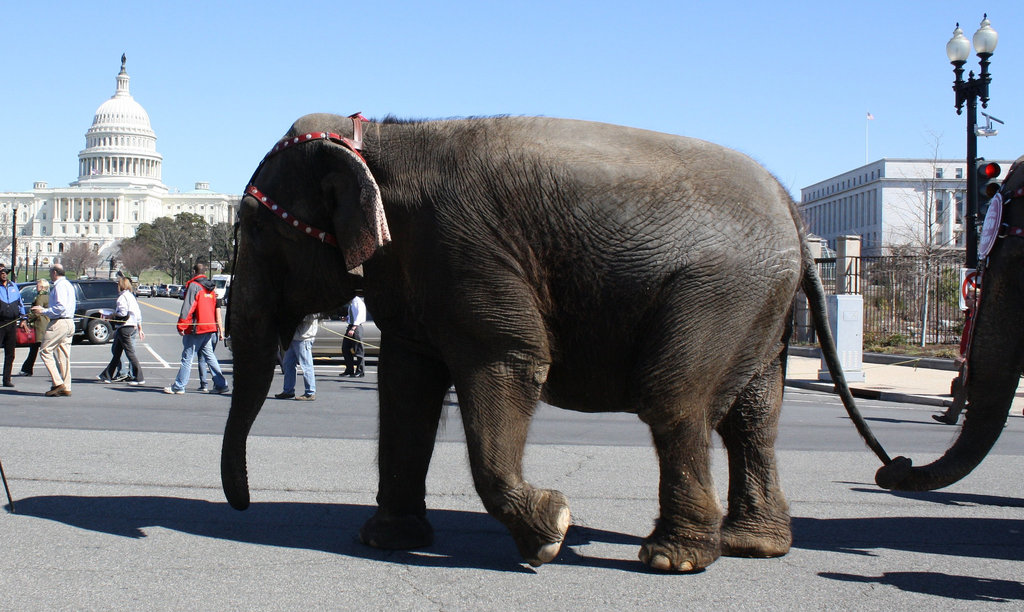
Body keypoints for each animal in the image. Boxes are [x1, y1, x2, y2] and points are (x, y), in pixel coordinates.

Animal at [220, 112, 876, 573]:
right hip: (762, 303)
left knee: (674, 400)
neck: (382, 139)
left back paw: (674, 560)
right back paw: (753, 546)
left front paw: (552, 532)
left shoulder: (471, 252)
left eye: (252, 227)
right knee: (754, 416)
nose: (243, 508)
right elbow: (406, 389)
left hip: (722, 289)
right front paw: (385, 541)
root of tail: (793, 211)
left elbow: (510, 360)